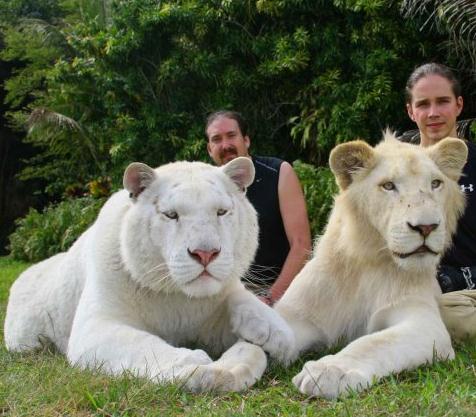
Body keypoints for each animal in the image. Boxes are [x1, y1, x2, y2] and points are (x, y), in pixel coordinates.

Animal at [4, 158, 294, 392]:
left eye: (221, 212)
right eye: (171, 215)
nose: (205, 254)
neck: (178, 298)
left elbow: (241, 299)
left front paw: (277, 334)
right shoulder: (96, 326)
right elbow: (141, 344)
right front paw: (192, 363)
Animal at [276, 135, 468, 398]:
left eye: (436, 183)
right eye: (388, 186)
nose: (426, 227)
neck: (370, 261)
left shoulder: (424, 322)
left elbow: (373, 343)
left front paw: (330, 371)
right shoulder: (296, 314)